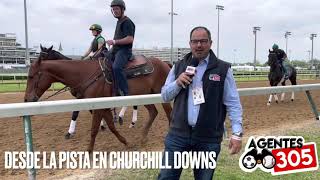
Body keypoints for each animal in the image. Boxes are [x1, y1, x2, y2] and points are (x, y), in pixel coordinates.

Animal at [24, 51, 172, 152]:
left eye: (31, 76)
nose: (26, 99)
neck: (84, 74)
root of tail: (165, 63)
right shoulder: (100, 106)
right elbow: (111, 126)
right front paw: (126, 142)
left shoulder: (97, 107)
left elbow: (93, 129)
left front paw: (89, 152)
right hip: (144, 96)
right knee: (153, 112)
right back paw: (142, 137)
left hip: (161, 96)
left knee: (169, 114)